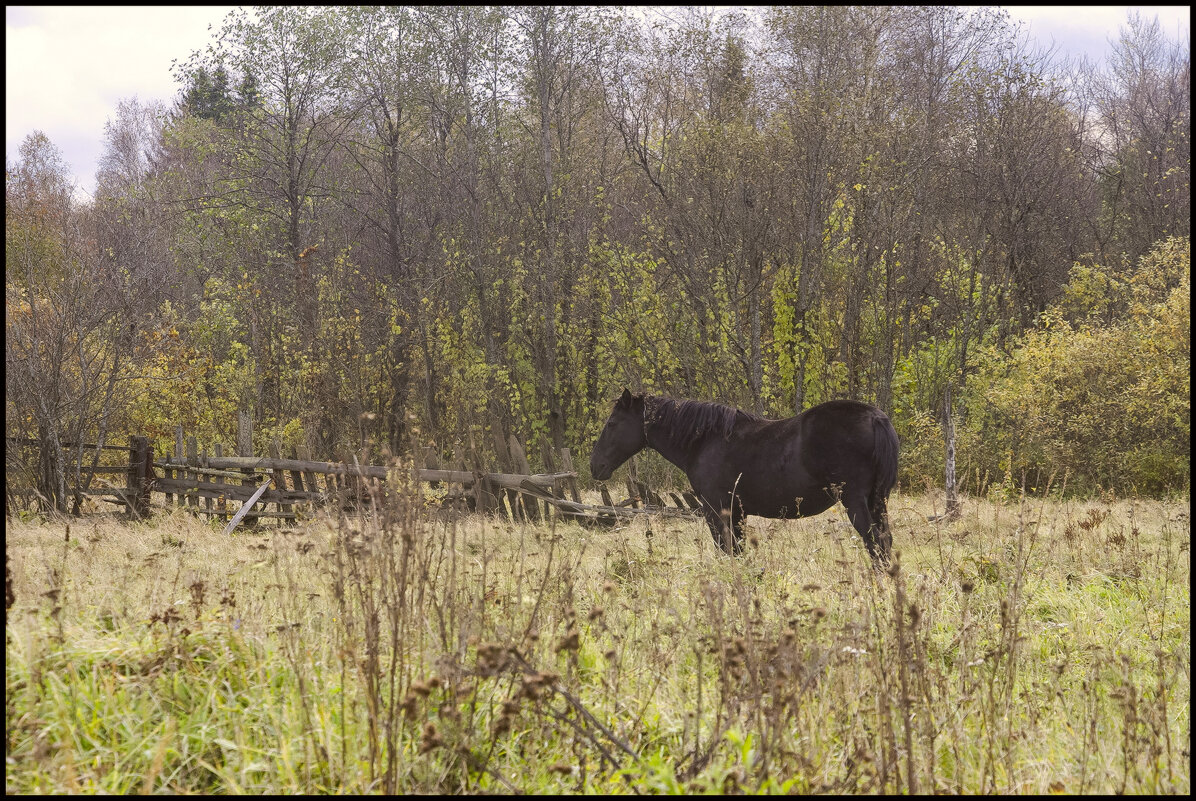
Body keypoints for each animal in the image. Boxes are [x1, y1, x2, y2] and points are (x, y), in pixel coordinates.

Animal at [588, 389, 899, 564]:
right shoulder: (737, 512)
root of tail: (875, 417)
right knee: (884, 541)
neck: (705, 441)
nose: (595, 466)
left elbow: (728, 551)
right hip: (877, 500)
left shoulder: (718, 511)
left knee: (875, 543)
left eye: (612, 423)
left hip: (855, 501)